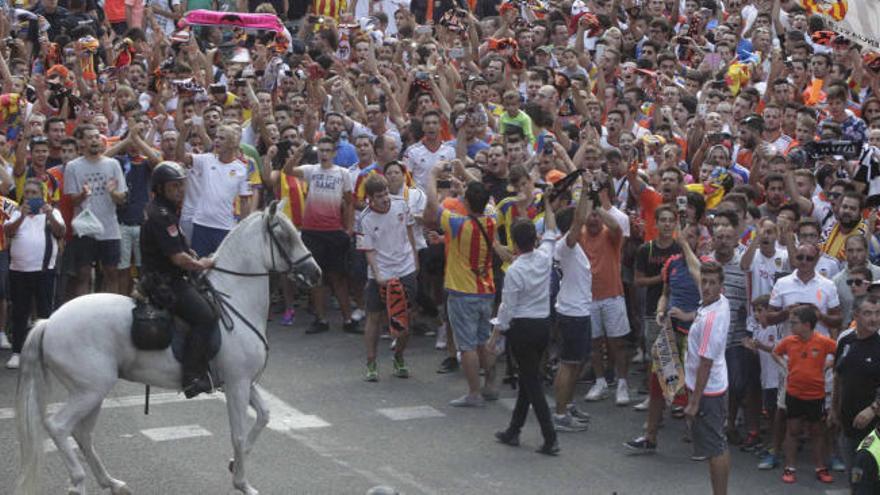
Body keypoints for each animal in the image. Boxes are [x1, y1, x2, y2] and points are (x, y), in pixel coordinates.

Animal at [13, 202, 322, 495]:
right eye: (285, 236)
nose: (315, 273)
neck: (236, 300)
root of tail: (49, 322)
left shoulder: (243, 383)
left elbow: (263, 417)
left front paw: (235, 463)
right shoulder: (238, 383)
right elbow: (238, 434)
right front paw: (243, 483)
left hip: (91, 391)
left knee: (83, 435)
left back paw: (112, 482)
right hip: (90, 390)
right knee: (59, 427)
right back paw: (78, 481)